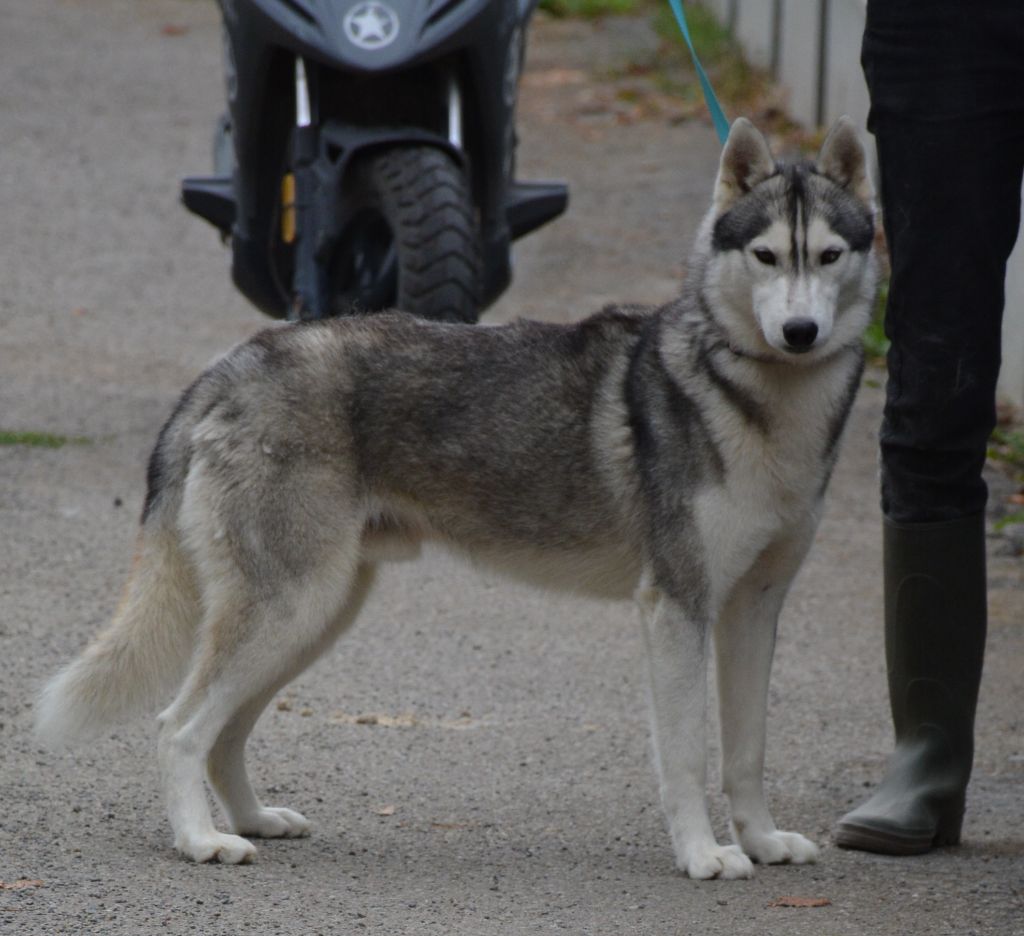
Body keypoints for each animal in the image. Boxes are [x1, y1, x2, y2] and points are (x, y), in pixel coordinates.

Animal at [36, 118, 876, 876]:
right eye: (766, 256)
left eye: (829, 256)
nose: (800, 331)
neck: (765, 408)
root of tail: (229, 365)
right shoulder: (677, 610)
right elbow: (690, 760)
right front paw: (704, 856)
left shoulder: (752, 612)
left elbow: (747, 753)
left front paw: (763, 843)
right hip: (290, 612)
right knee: (178, 727)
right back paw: (202, 842)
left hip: (312, 620)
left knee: (226, 734)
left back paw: (252, 821)